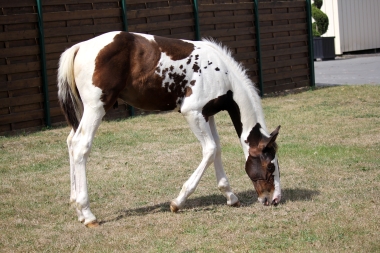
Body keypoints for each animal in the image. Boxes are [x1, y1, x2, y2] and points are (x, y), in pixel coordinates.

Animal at [57, 31, 282, 227]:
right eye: (271, 166)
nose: (275, 199)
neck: (222, 74)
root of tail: (80, 47)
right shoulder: (192, 113)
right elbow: (210, 150)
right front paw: (177, 202)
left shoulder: (207, 115)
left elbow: (217, 148)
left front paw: (230, 196)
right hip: (96, 107)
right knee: (81, 146)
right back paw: (88, 214)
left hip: (84, 111)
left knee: (70, 143)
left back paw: (77, 208)